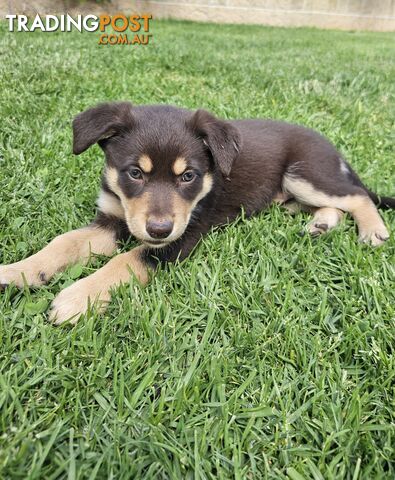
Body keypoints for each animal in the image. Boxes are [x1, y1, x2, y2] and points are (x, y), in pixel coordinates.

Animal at [0, 102, 394, 324]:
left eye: (188, 176)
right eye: (134, 173)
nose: (159, 229)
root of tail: (333, 149)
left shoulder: (183, 236)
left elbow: (126, 260)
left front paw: (78, 297)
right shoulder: (112, 221)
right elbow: (63, 242)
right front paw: (18, 272)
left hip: (304, 173)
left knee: (358, 196)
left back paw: (372, 230)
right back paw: (321, 223)